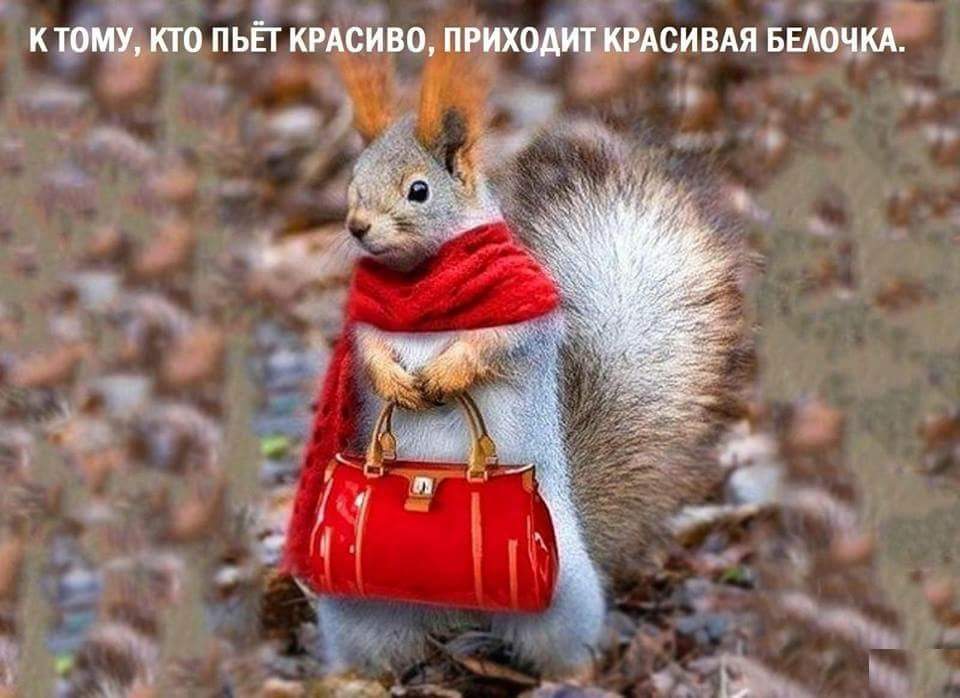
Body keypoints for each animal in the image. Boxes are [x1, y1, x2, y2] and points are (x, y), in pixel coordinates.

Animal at [287, 37, 754, 678]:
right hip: (360, 607)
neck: (420, 283)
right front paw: (396, 378)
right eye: (352, 181)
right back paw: (353, 677)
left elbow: (499, 343)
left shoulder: (523, 318)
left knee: (562, 644)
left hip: (557, 594)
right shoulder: (365, 325)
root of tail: (457, 615)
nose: (357, 227)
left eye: (418, 190)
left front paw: (447, 370)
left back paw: (572, 673)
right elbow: (370, 351)